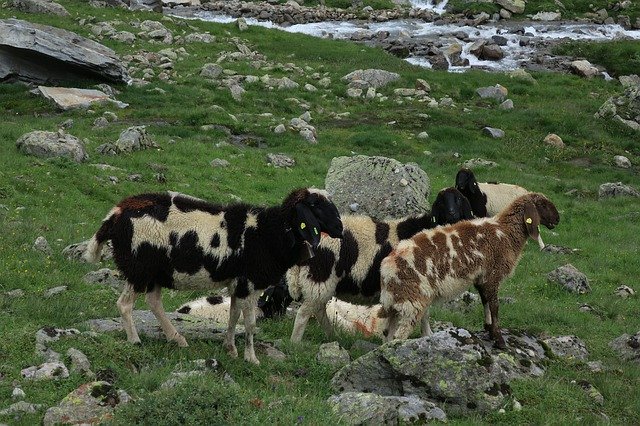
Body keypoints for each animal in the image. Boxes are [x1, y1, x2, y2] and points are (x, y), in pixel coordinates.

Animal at [378, 193, 556, 350]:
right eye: (542, 205)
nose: (558, 218)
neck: (506, 232)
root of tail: (387, 268)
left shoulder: (481, 277)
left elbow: (485, 302)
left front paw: (489, 329)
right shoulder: (493, 275)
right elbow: (495, 306)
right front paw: (499, 340)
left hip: (396, 302)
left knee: (388, 334)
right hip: (411, 301)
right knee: (399, 335)